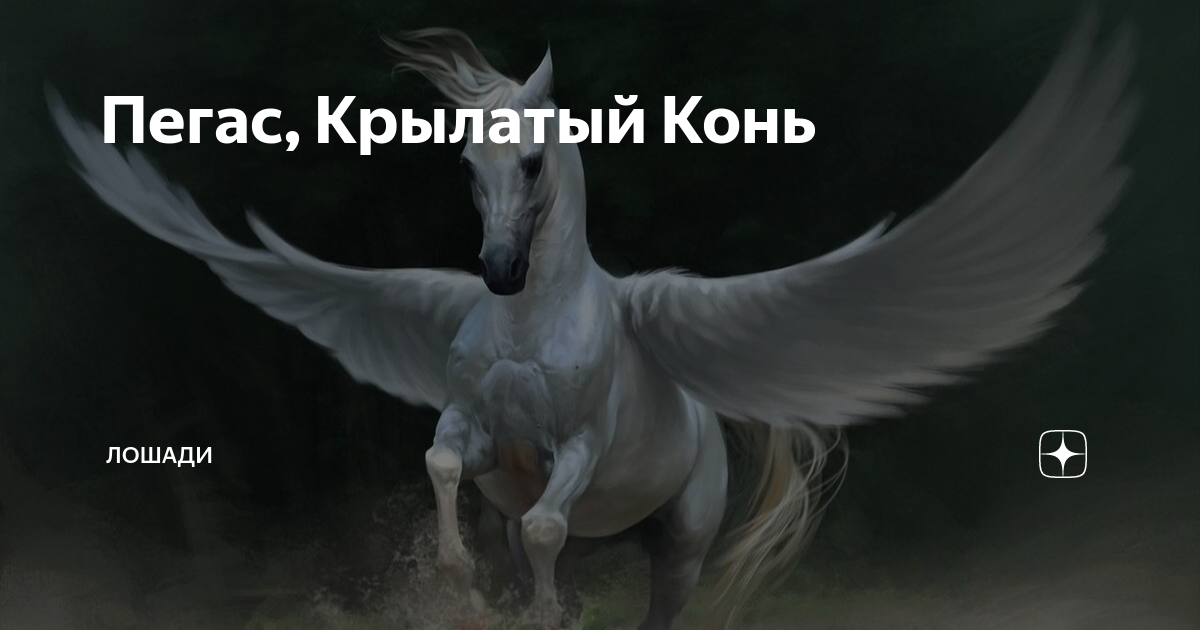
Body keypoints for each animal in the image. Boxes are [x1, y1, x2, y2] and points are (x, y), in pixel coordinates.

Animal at [49, 11, 1133, 630]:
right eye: (464, 161)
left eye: (532, 160)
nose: (495, 271)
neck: (532, 323)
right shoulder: (478, 432)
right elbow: (453, 475)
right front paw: (461, 585)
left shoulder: (574, 448)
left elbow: (541, 523)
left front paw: (523, 608)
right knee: (556, 545)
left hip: (682, 544)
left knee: (642, 594)